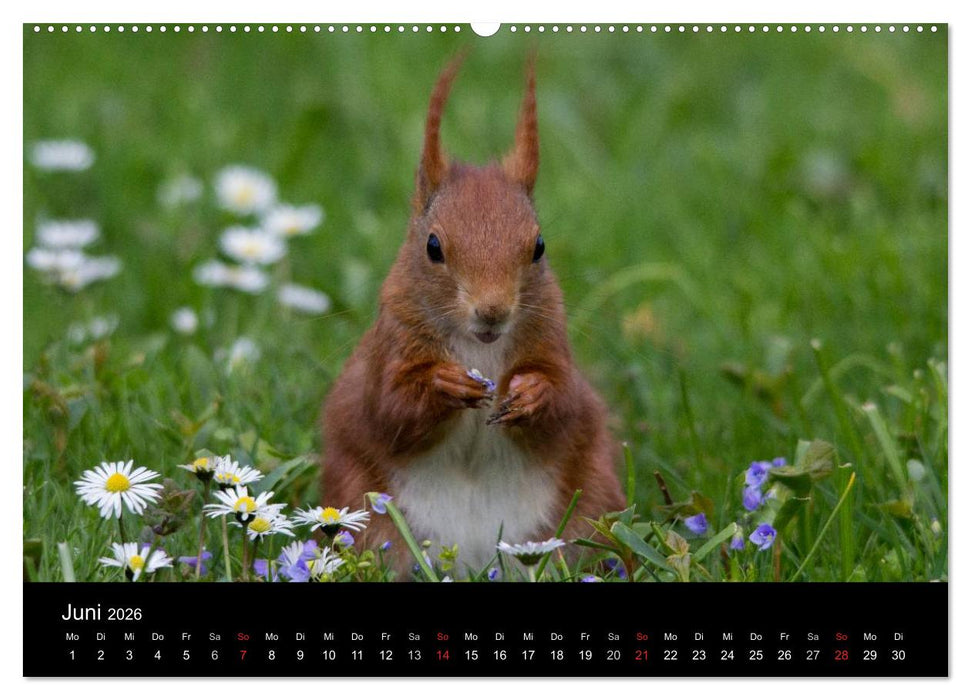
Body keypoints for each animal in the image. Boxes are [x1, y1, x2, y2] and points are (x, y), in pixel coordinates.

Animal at [321, 57, 626, 577]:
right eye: (433, 247)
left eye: (539, 246)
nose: (493, 311)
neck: (478, 348)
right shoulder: (390, 347)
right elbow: (389, 407)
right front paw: (446, 385)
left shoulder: (551, 343)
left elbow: (564, 403)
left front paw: (531, 394)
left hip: (592, 502)